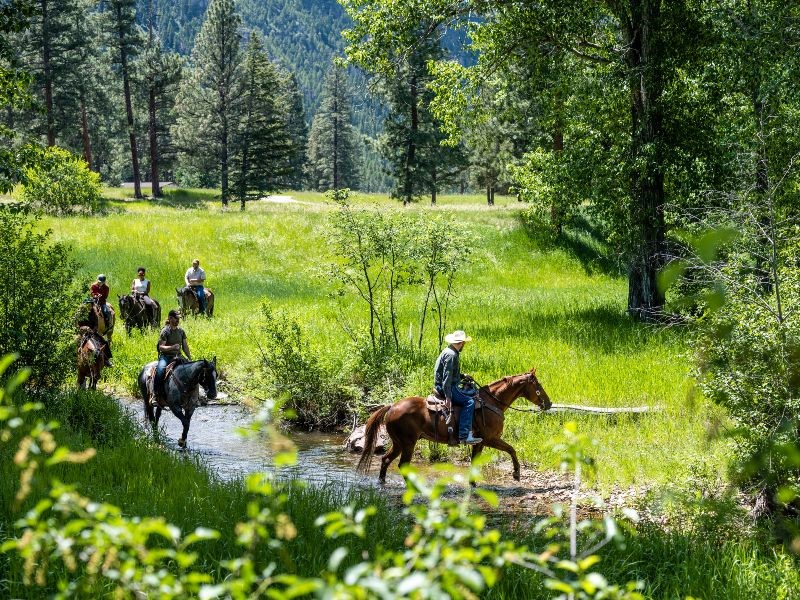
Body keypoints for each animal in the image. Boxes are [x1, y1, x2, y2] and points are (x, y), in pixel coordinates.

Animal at [356, 368, 552, 486]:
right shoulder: (490, 439)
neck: (491, 402)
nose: (549, 403)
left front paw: (472, 484)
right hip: (408, 443)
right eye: (539, 385)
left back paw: (382, 482)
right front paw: (516, 474)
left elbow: (474, 462)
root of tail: (392, 406)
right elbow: (512, 449)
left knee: (386, 460)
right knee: (402, 464)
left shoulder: (479, 443)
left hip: (398, 443)